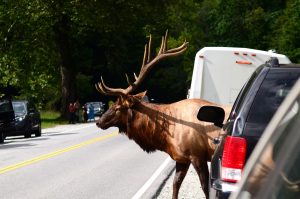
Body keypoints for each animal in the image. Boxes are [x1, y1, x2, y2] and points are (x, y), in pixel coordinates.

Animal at [95, 30, 229, 197]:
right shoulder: (182, 158)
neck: (167, 136)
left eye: (118, 107)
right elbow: (175, 185)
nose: (98, 121)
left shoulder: (197, 155)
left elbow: (205, 188)